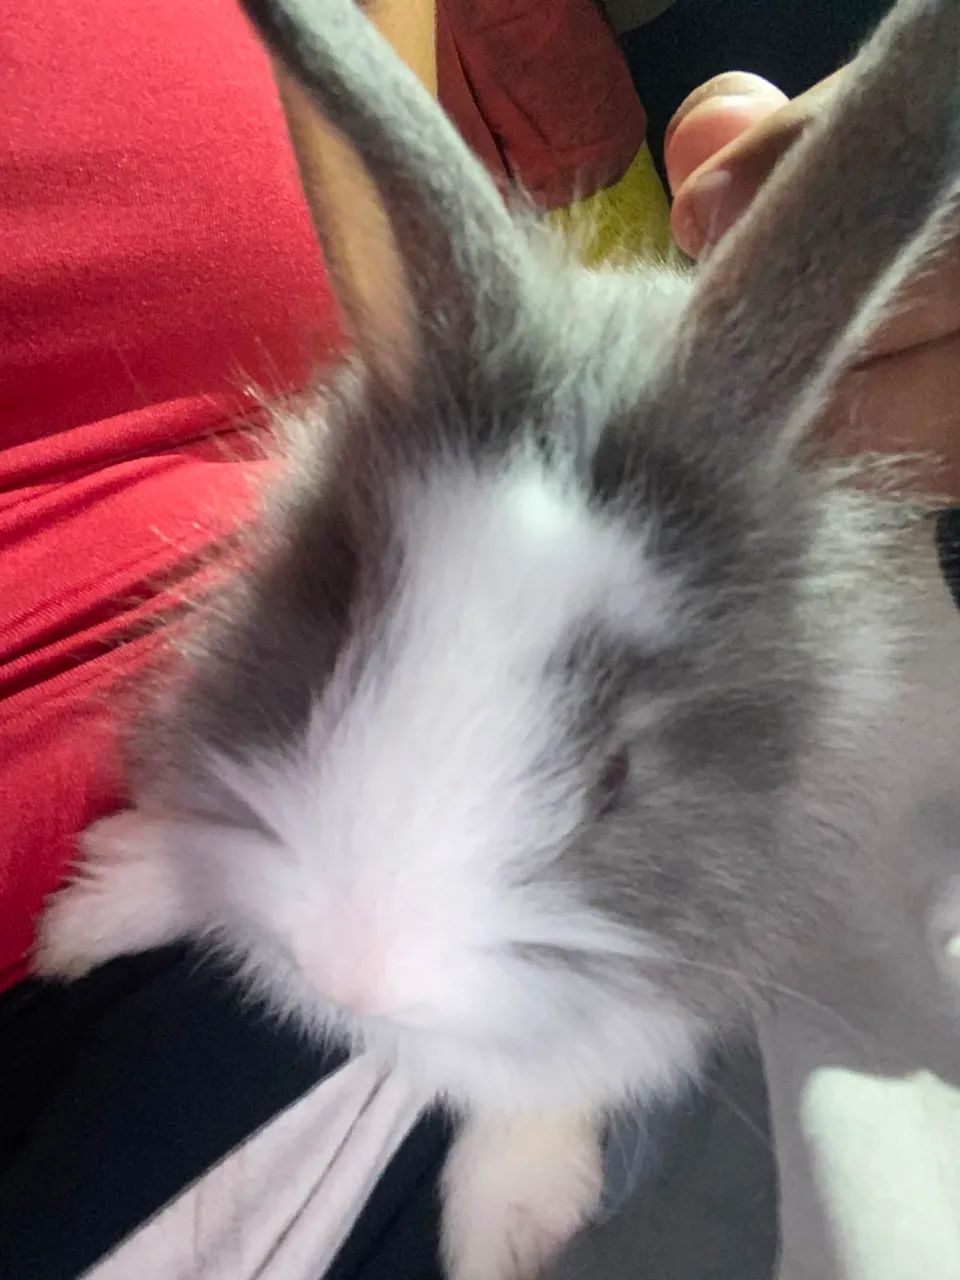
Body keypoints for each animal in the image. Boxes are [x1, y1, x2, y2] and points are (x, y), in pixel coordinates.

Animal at [33, 0, 960, 1276]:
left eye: (617, 775)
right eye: (329, 644)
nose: (355, 970)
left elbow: (556, 1067)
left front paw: (510, 1222)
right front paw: (94, 907)